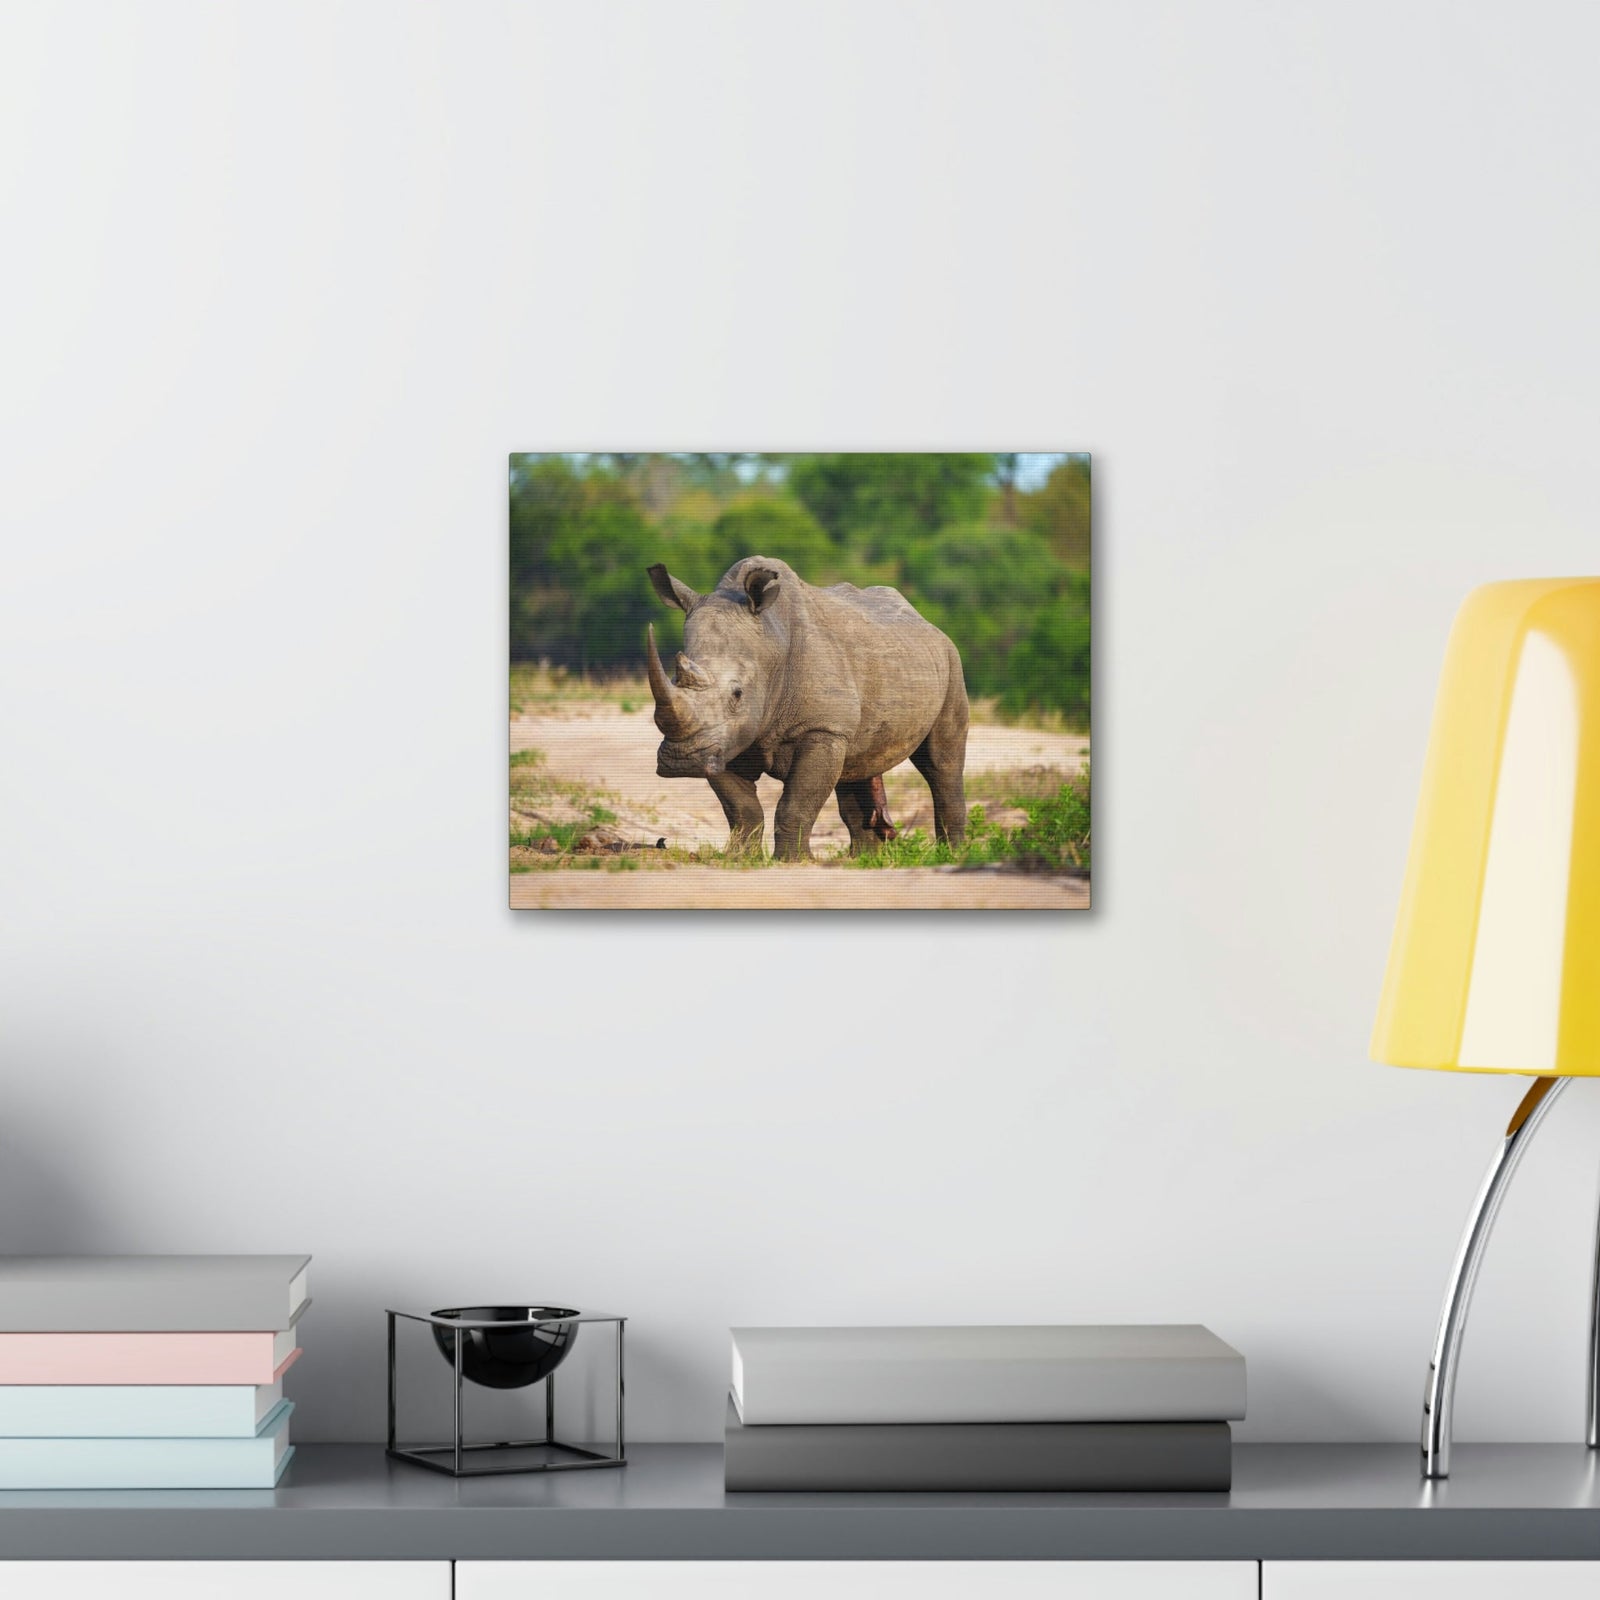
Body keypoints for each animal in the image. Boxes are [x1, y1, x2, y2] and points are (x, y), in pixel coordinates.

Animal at [644, 556, 969, 860]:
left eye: (737, 694)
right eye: (674, 680)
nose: (682, 760)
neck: (771, 644)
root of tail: (924, 620)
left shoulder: (822, 729)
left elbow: (797, 802)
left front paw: (792, 861)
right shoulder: (720, 740)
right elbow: (742, 808)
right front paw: (739, 858)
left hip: (951, 660)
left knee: (942, 763)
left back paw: (952, 854)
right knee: (856, 765)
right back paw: (862, 859)